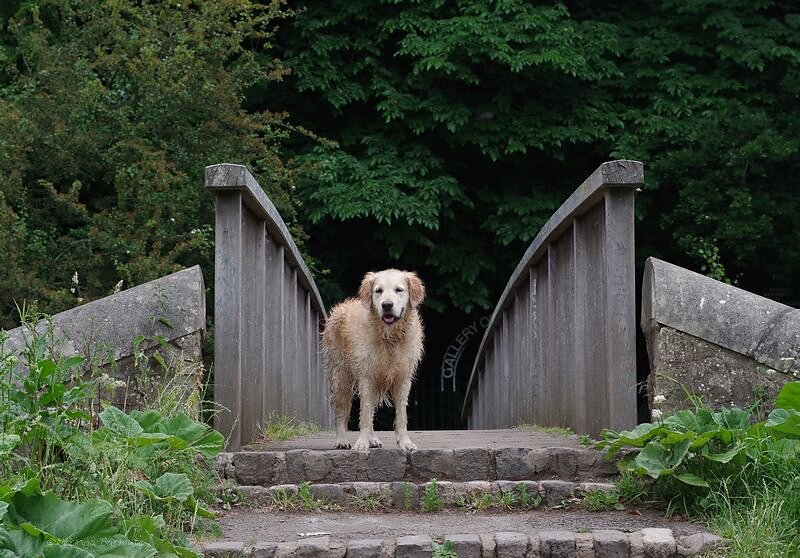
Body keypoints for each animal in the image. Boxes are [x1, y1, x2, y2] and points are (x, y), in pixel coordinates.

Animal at [324, 270, 428, 452]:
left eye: (399, 290)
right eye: (378, 290)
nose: (387, 305)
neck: (389, 338)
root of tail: (340, 307)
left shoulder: (402, 378)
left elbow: (401, 415)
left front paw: (405, 442)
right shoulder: (367, 376)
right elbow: (364, 414)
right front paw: (362, 443)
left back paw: (372, 439)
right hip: (340, 376)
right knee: (340, 409)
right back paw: (342, 439)